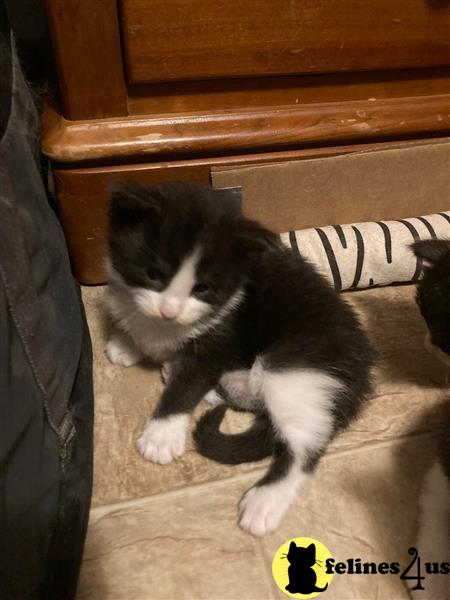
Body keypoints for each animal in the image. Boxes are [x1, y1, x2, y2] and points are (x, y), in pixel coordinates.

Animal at [106, 180, 376, 536]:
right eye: (153, 274)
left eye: (203, 288)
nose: (169, 310)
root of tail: (361, 372)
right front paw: (127, 344)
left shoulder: (222, 340)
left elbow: (187, 384)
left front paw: (161, 435)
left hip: (296, 367)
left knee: (303, 444)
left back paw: (267, 500)